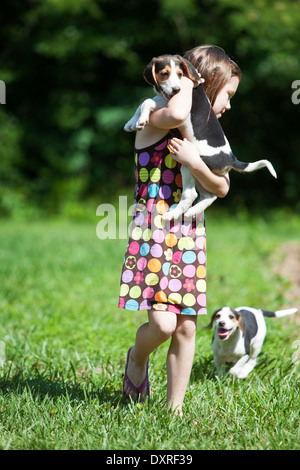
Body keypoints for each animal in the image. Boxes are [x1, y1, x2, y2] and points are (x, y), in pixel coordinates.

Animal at [123, 54, 276, 222]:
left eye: (180, 74)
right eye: (164, 74)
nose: (177, 90)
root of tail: (231, 159)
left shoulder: (170, 104)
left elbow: (147, 101)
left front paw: (141, 120)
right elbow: (144, 103)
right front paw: (132, 122)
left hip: (190, 164)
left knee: (191, 194)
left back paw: (172, 214)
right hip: (202, 173)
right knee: (210, 195)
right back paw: (192, 211)